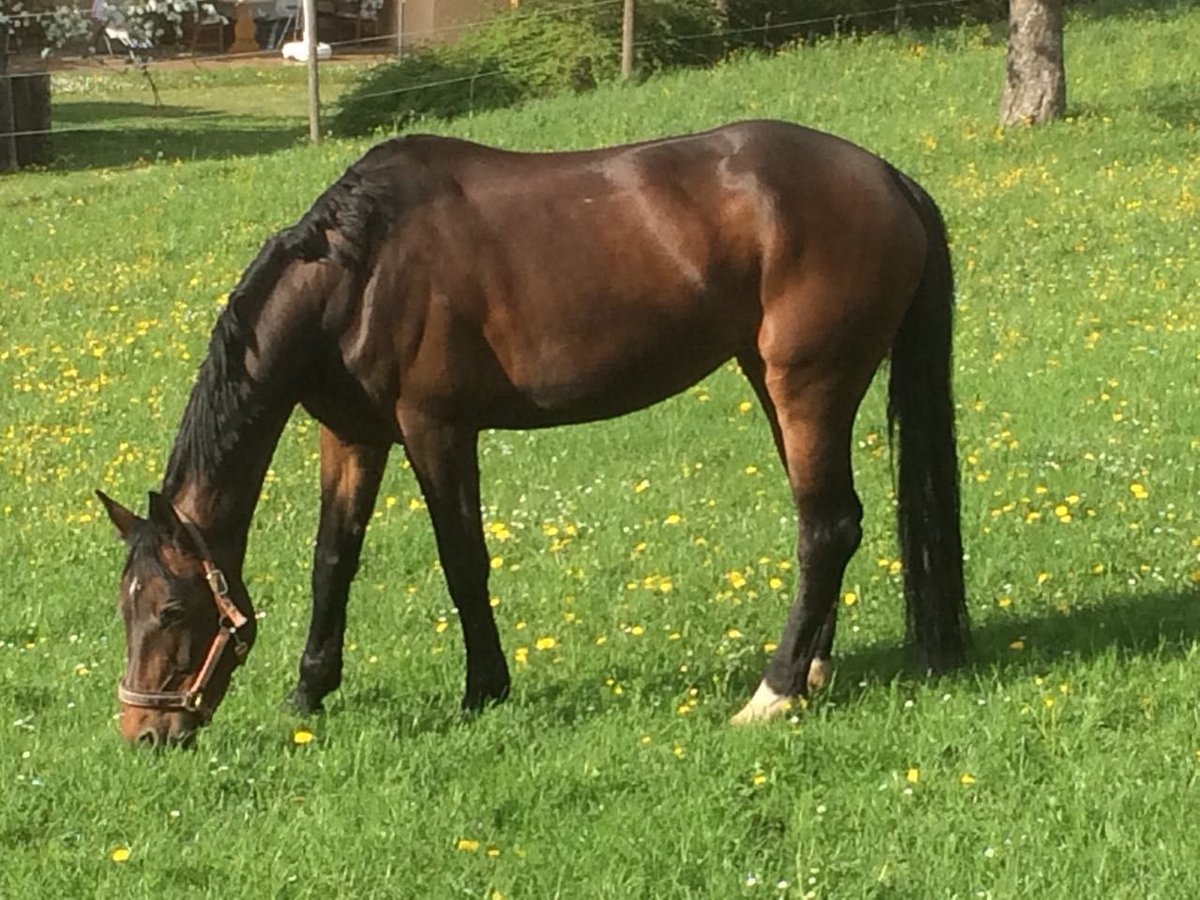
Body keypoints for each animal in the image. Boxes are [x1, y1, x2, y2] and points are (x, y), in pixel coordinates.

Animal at [98, 121, 969, 748]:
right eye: (125, 605)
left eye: (171, 610)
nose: (144, 731)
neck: (360, 268)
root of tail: (886, 178)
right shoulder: (352, 436)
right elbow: (332, 562)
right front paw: (309, 689)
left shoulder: (438, 429)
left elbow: (462, 562)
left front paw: (484, 688)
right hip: (776, 382)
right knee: (828, 523)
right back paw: (812, 673)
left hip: (808, 384)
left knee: (827, 526)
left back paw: (774, 692)